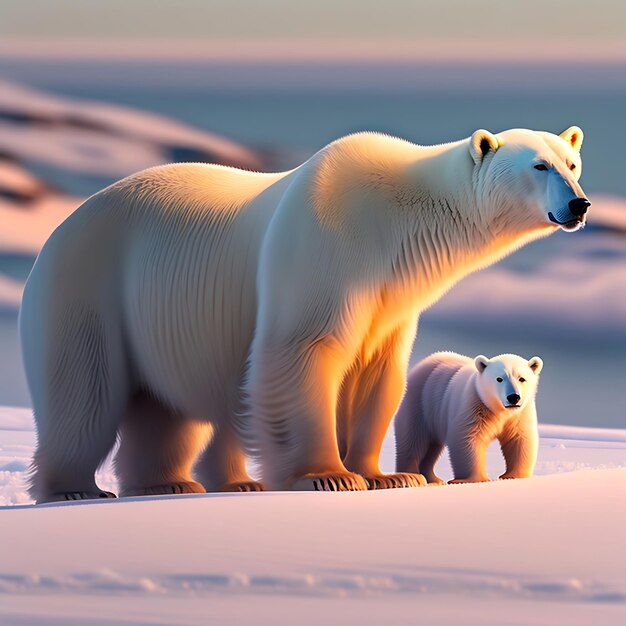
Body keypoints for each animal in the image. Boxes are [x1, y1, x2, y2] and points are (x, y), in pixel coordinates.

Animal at [394, 352, 540, 482]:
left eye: (522, 378)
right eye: (499, 378)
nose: (513, 397)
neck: (498, 410)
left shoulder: (520, 414)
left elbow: (520, 438)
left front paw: (514, 476)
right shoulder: (473, 405)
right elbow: (468, 437)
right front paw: (474, 479)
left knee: (432, 447)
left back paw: (432, 478)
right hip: (419, 403)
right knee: (413, 439)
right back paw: (411, 474)